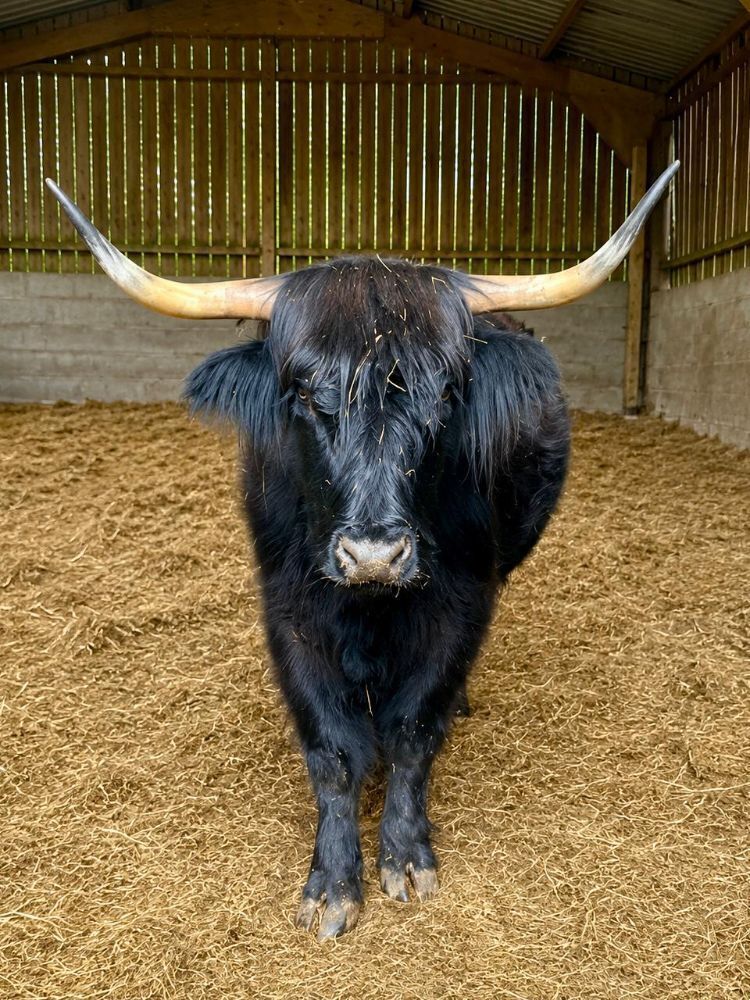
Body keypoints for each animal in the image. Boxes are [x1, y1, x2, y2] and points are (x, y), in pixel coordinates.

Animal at [47, 163, 678, 940]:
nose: (374, 556)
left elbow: (412, 729)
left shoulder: (462, 602)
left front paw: (405, 858)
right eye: (303, 393)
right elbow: (332, 750)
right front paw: (332, 886)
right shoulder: (287, 609)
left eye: (447, 394)